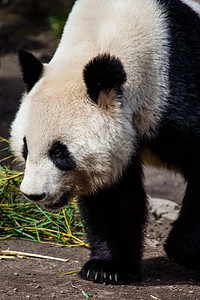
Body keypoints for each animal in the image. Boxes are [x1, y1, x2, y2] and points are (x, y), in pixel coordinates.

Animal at [10, 0, 200, 284]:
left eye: (59, 152)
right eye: (25, 148)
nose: (34, 194)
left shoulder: (176, 83)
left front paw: (188, 250)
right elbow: (112, 196)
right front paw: (108, 268)